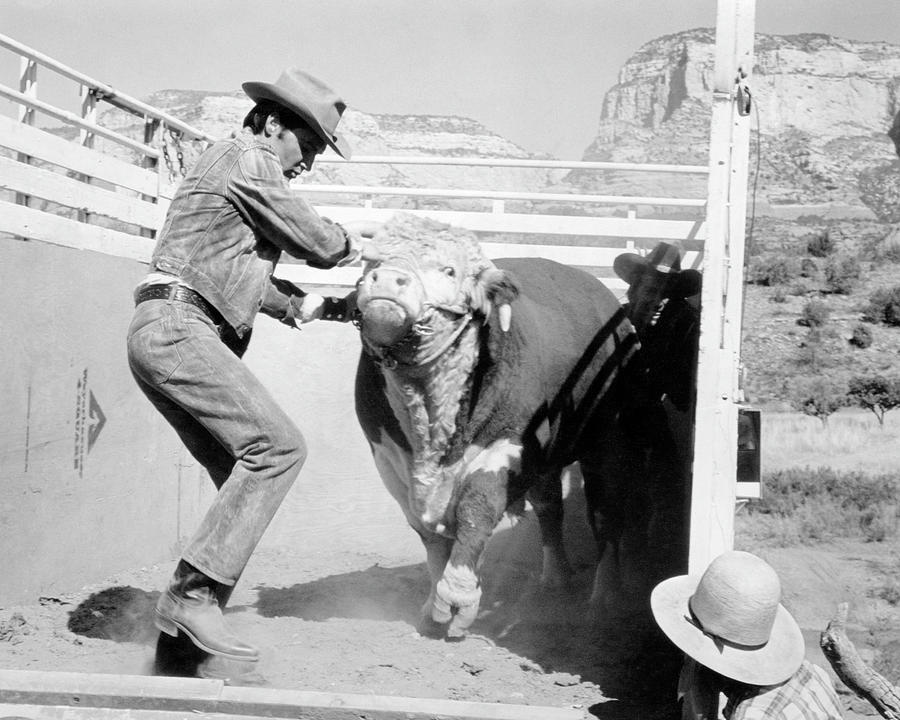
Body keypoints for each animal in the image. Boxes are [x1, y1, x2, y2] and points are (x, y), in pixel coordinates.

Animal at [350, 212, 648, 636]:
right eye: (371, 261)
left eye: (449, 270)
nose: (389, 280)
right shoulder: (388, 458)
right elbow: (426, 532)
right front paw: (433, 601)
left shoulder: (509, 442)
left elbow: (477, 508)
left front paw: (457, 598)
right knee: (549, 506)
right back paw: (555, 577)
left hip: (609, 440)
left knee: (606, 514)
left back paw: (605, 597)